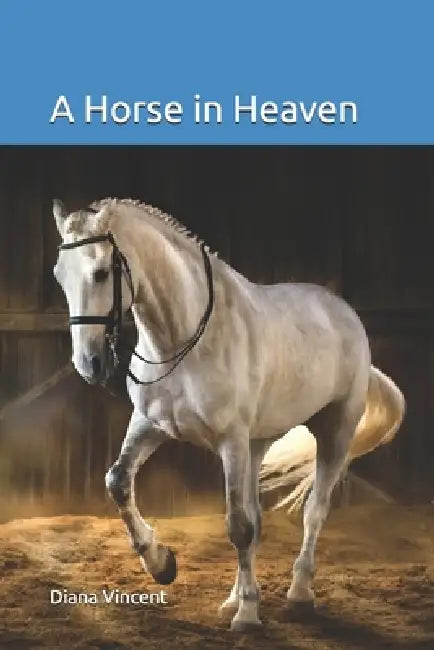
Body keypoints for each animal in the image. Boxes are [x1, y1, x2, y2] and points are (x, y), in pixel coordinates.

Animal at [52, 197, 405, 631]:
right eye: (60, 276)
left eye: (101, 272)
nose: (90, 364)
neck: (183, 340)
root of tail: (344, 312)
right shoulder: (151, 425)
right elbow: (118, 481)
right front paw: (162, 564)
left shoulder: (230, 441)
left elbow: (238, 526)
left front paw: (248, 616)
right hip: (257, 444)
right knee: (257, 516)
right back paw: (233, 597)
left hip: (334, 431)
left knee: (313, 512)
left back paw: (298, 594)